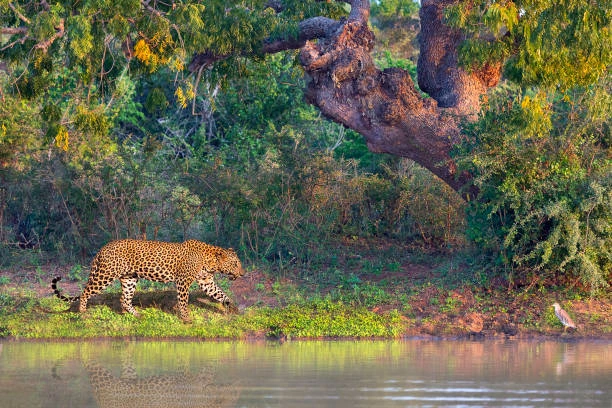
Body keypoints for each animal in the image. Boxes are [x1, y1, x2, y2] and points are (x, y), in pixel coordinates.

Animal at [52, 239, 244, 322]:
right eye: (235, 263)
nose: (242, 274)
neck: (211, 261)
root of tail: (103, 248)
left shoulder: (206, 282)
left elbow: (221, 294)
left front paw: (233, 308)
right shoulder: (183, 281)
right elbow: (183, 301)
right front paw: (186, 318)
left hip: (129, 278)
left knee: (124, 298)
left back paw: (135, 315)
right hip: (105, 275)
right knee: (85, 292)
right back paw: (83, 312)